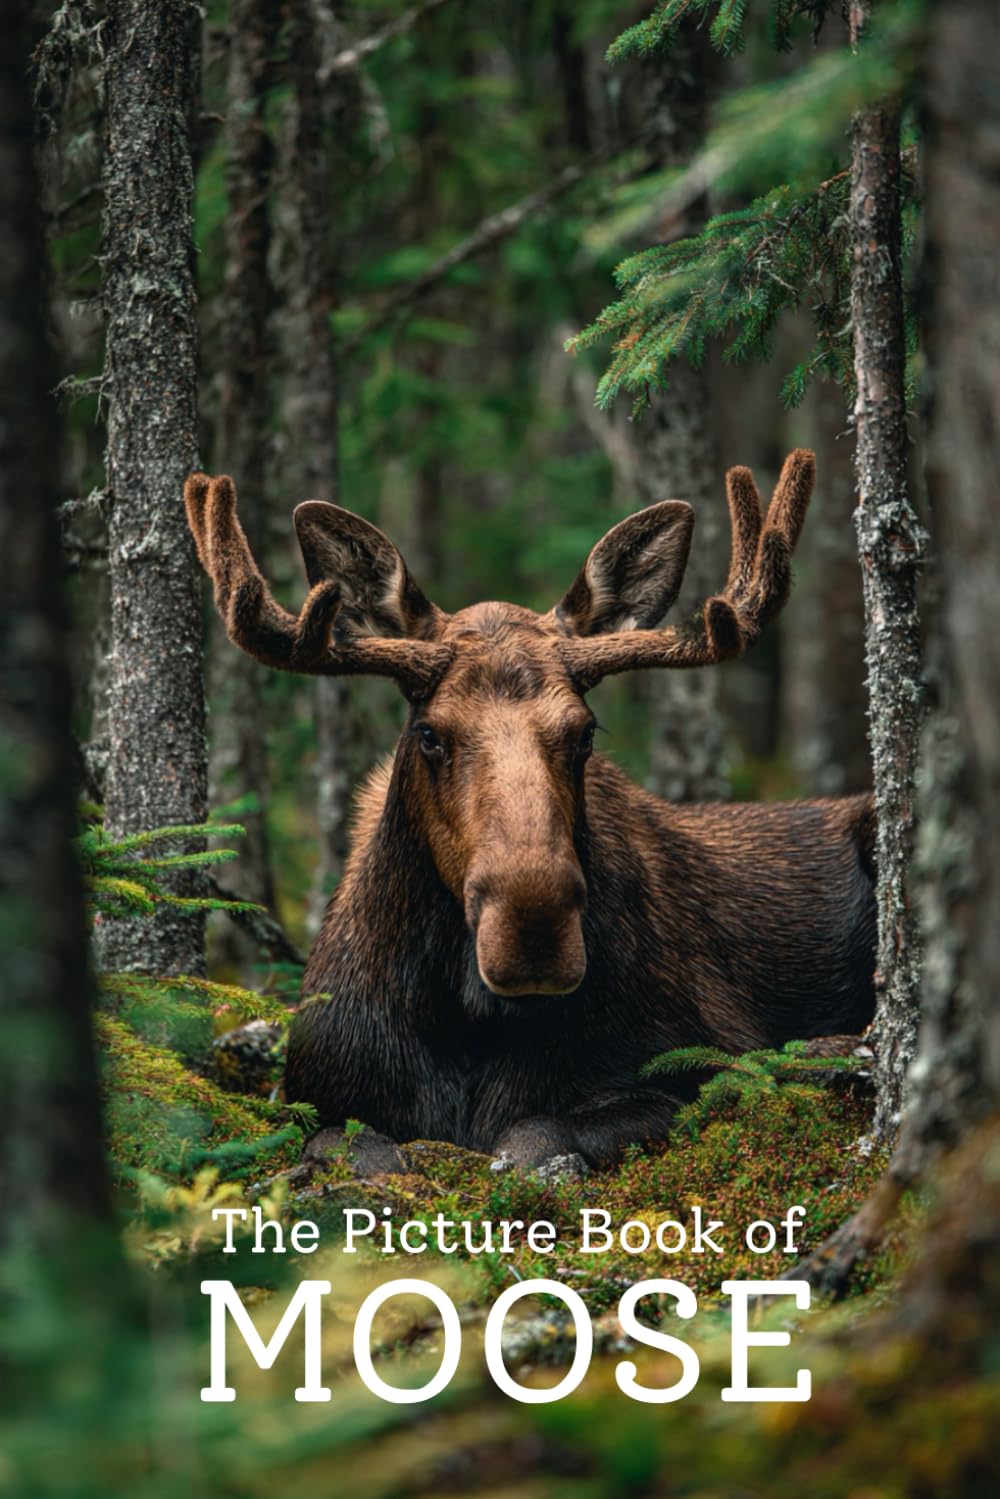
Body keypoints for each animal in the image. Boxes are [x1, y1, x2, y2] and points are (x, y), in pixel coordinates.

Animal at [184, 449, 876, 1172]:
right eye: (428, 733)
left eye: (585, 732)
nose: (532, 930)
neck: (466, 1023)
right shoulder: (314, 1094)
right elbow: (355, 1147)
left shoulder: (700, 1063)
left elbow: (528, 1136)